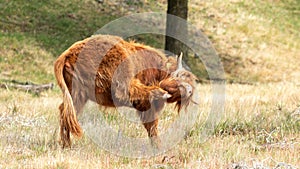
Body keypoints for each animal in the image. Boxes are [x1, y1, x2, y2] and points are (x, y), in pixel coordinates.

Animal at [54, 34, 198, 148]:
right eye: (179, 79)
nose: (189, 91)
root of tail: (68, 53)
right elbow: (152, 124)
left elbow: (151, 126)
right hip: (116, 75)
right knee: (126, 91)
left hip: (77, 93)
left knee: (66, 111)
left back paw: (65, 144)